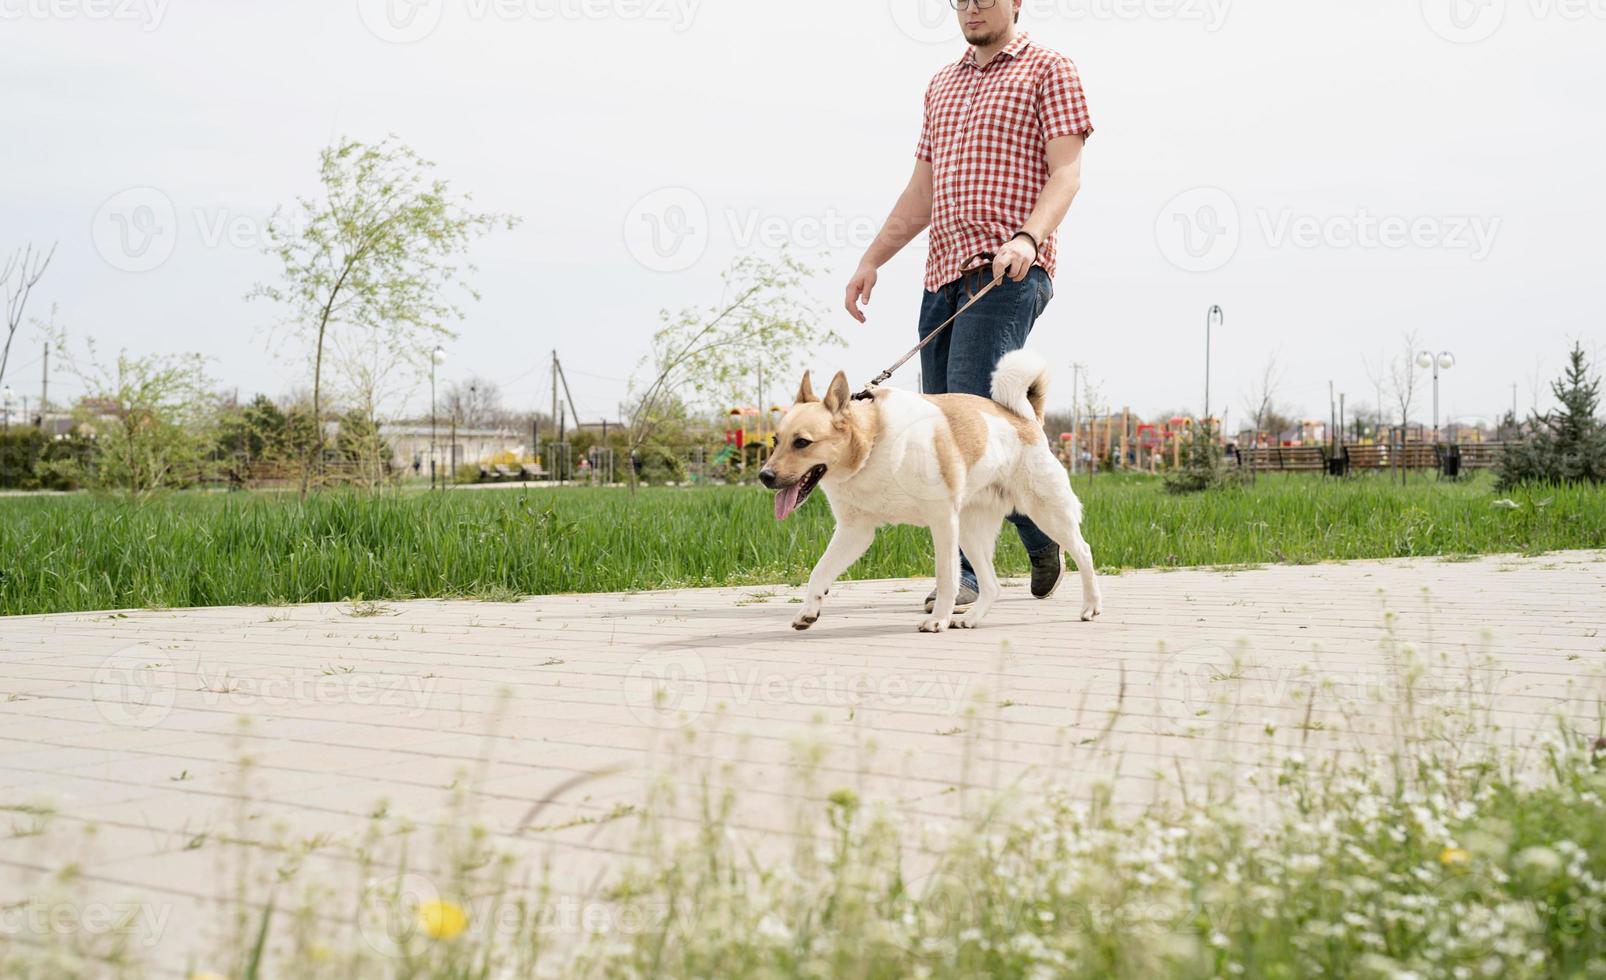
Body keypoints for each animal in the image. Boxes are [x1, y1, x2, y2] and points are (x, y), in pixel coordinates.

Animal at [758, 347, 1098, 629]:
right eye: (775, 440)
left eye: (802, 442)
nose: (764, 476)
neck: (873, 444)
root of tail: (1024, 418)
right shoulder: (855, 532)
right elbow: (820, 571)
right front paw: (808, 611)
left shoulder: (942, 521)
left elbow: (946, 576)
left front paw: (938, 619)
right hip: (971, 533)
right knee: (992, 585)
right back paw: (971, 619)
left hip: (1046, 513)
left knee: (1083, 551)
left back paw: (1091, 606)